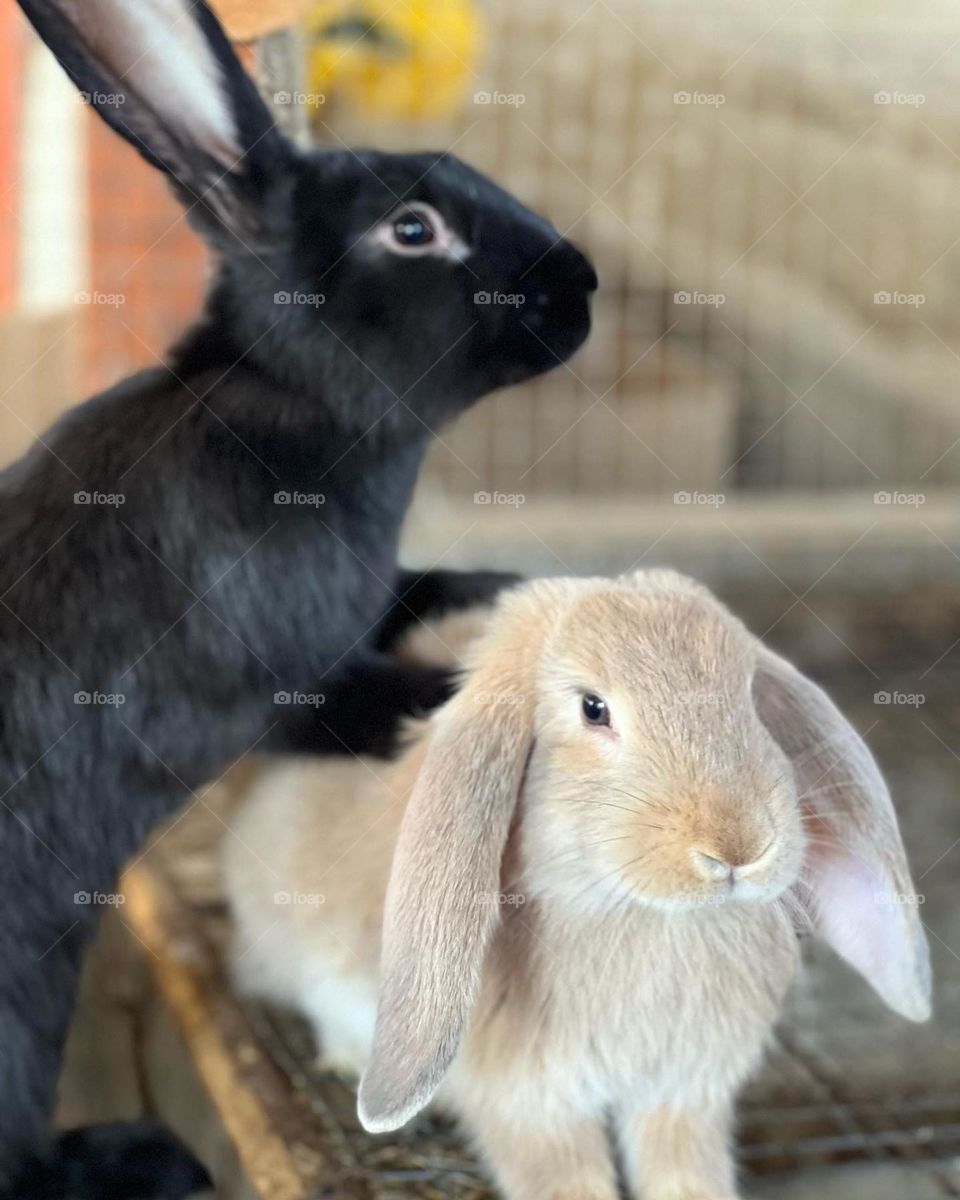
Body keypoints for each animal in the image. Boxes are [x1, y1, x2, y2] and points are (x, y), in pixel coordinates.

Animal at [2, 1, 594, 1193]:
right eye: (412, 229)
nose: (585, 281)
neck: (294, 405)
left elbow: (422, 589)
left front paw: (504, 587)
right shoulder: (272, 682)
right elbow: (366, 704)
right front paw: (463, 703)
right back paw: (144, 1159)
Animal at [225, 569, 931, 1200]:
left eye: (750, 696)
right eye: (594, 709)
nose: (740, 849)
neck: (641, 914)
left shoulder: (682, 1095)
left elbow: (685, 1174)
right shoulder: (533, 1107)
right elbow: (569, 1181)